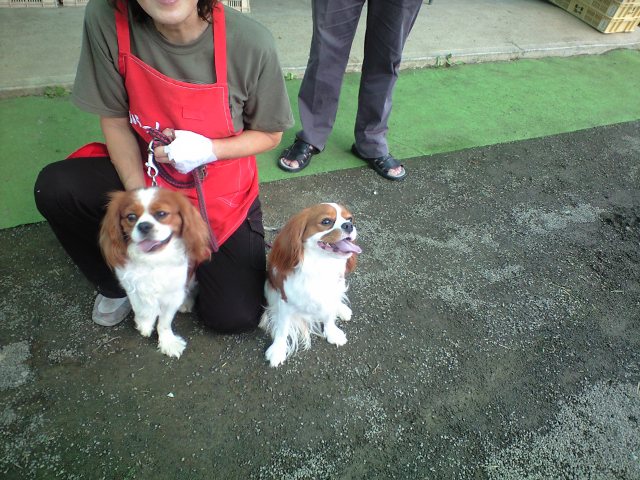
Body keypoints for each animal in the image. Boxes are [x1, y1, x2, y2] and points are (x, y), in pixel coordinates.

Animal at [99, 187, 211, 358]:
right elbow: (141, 308)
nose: (144, 226)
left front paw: (167, 342)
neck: (152, 259)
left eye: (161, 214)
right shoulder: (131, 286)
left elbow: (164, 322)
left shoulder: (172, 295)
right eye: (131, 217)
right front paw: (145, 324)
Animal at [260, 203, 362, 367]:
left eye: (350, 219)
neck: (321, 264)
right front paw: (278, 349)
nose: (349, 225)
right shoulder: (285, 301)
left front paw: (332, 332)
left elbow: (329, 316)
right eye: (326, 221)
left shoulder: (330, 295)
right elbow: (282, 327)